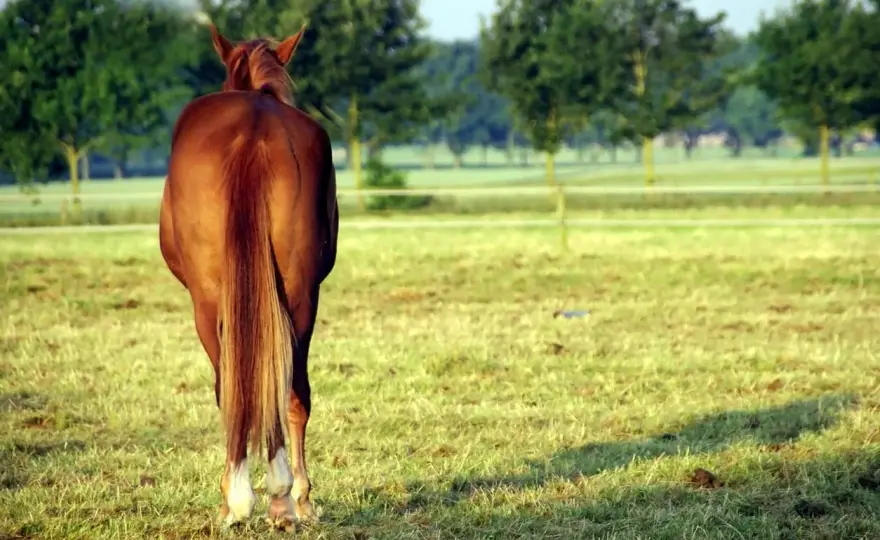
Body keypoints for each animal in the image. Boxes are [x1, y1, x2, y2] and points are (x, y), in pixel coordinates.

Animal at [158, 24, 338, 531]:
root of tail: (253, 129)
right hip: (300, 296)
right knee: (292, 391)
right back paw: (284, 499)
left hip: (207, 304)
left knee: (233, 390)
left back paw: (249, 498)